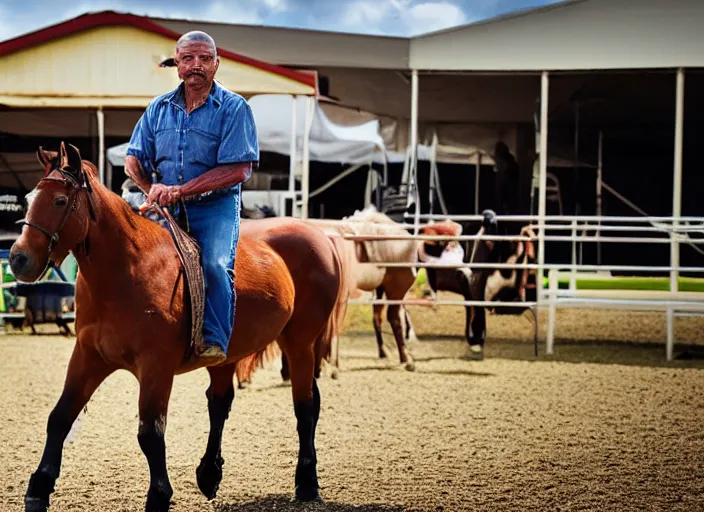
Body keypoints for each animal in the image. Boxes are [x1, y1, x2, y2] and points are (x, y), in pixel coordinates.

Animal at [12, 142, 348, 510]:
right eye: (29, 199)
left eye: (60, 200)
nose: (18, 259)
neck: (126, 271)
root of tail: (320, 236)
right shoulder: (88, 356)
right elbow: (60, 417)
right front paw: (38, 489)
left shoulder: (156, 366)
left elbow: (150, 433)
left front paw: (159, 496)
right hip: (229, 353)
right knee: (220, 403)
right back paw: (210, 474)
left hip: (300, 343)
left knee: (305, 407)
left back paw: (307, 482)